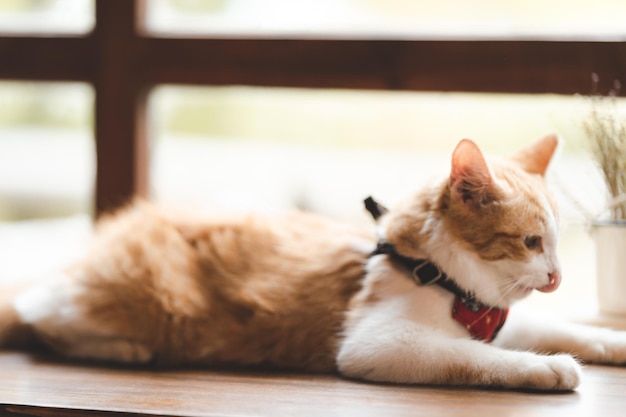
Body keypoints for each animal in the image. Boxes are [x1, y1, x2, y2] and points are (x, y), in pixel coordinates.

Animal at [1, 136, 624, 390]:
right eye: (530, 242)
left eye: (556, 242)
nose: (558, 276)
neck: (445, 279)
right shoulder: (379, 345)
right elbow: (473, 358)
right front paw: (547, 368)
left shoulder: (501, 318)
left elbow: (558, 326)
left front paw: (607, 341)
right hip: (153, 294)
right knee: (39, 312)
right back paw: (122, 347)